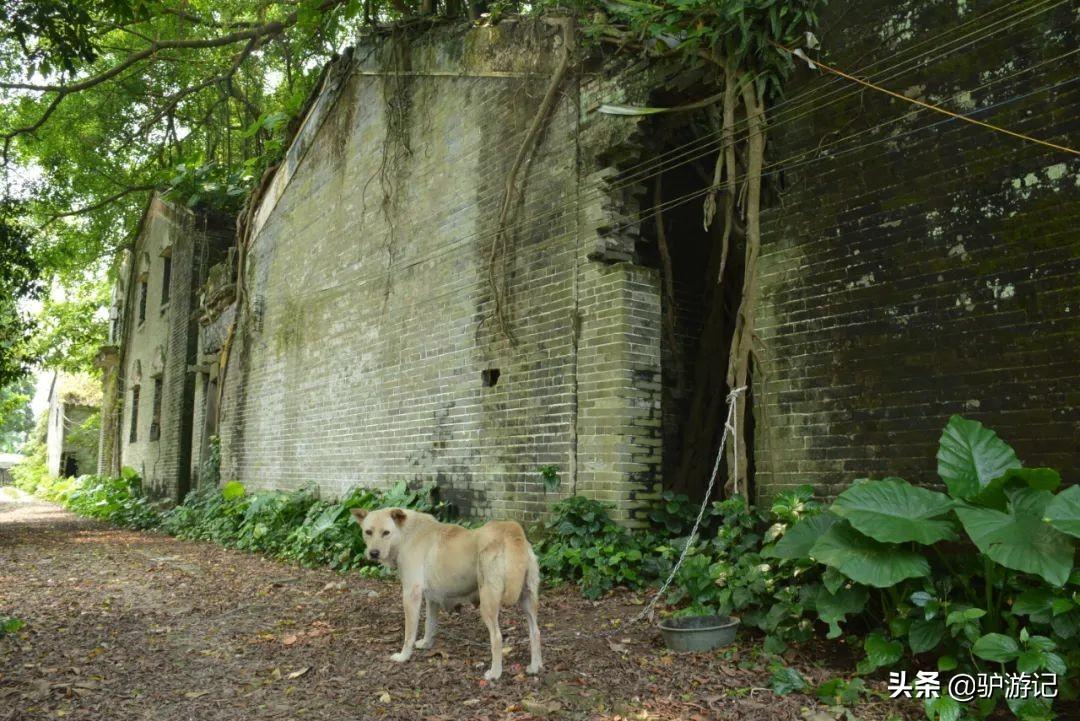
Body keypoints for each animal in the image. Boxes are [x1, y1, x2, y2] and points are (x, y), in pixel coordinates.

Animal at [352, 505, 540, 677]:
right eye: (368, 532)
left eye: (386, 532)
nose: (373, 553)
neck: (406, 534)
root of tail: (511, 532)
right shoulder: (431, 598)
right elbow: (429, 624)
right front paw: (426, 644)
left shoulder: (411, 595)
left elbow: (409, 633)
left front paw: (404, 656)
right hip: (528, 600)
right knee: (535, 632)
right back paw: (535, 667)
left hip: (488, 603)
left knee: (497, 637)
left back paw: (495, 673)